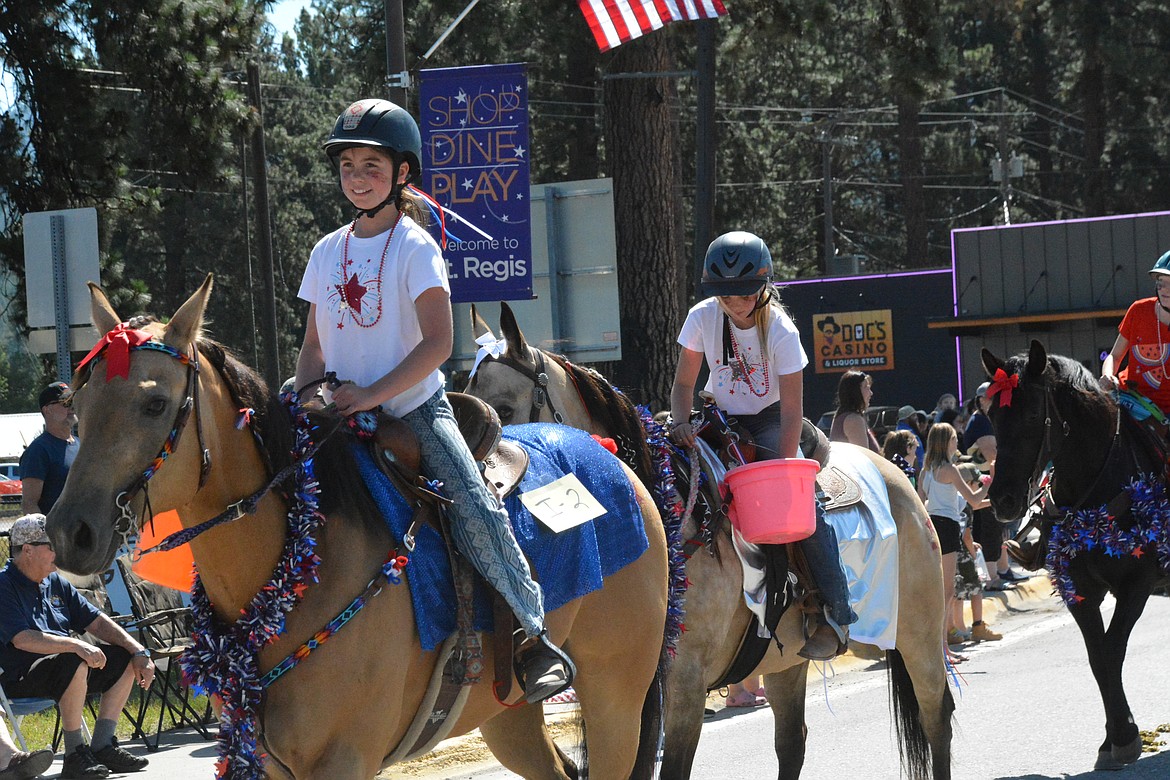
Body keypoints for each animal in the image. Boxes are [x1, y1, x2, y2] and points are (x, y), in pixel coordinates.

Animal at [45, 277, 669, 776]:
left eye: (154, 405)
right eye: (80, 402)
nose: (70, 532)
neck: (293, 562)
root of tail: (611, 458)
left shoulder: (344, 758)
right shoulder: (264, 758)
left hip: (615, 695)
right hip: (508, 714)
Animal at [460, 304, 954, 780]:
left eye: (503, 409)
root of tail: (897, 471)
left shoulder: (681, 686)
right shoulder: (626, 692)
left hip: (919, 633)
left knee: (937, 716)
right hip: (787, 662)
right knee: (792, 743)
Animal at [982, 343, 1165, 776]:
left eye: (1033, 414)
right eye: (991, 414)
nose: (1003, 500)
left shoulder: (1137, 584)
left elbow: (1113, 650)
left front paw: (1125, 737)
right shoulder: (1079, 592)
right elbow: (1099, 659)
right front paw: (1112, 738)